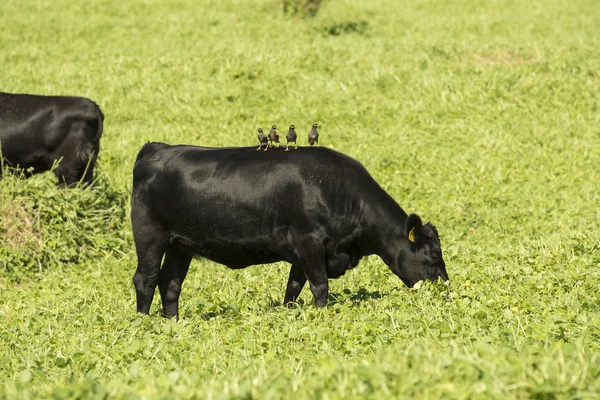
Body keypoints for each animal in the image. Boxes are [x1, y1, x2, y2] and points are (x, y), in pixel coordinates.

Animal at [131, 142, 450, 318]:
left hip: (180, 245)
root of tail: (157, 148)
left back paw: (173, 322)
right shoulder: (309, 241)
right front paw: (322, 315)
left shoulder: (302, 252)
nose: (446, 290)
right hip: (150, 236)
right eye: (434, 256)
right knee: (146, 279)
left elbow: (293, 288)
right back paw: (144, 323)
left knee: (170, 283)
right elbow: (320, 285)